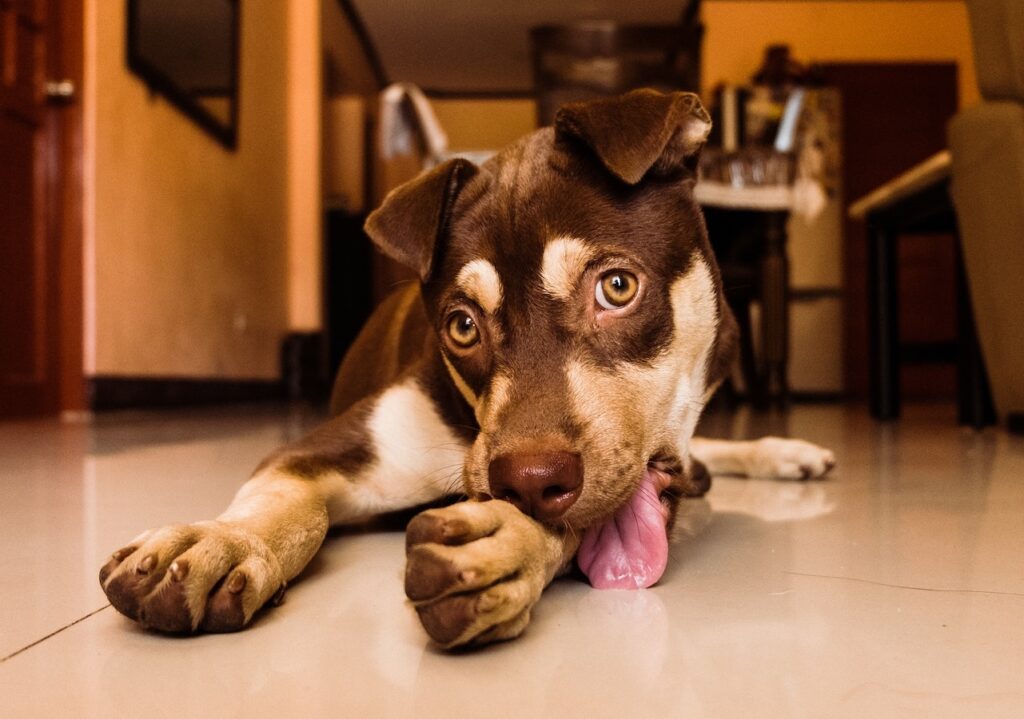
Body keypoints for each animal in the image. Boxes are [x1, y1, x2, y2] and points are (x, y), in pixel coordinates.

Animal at [96, 88, 835, 647]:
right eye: (461, 326)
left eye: (617, 287)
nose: (529, 479)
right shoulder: (325, 447)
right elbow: (284, 501)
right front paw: (222, 540)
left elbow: (576, 515)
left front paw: (503, 545)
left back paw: (781, 450)